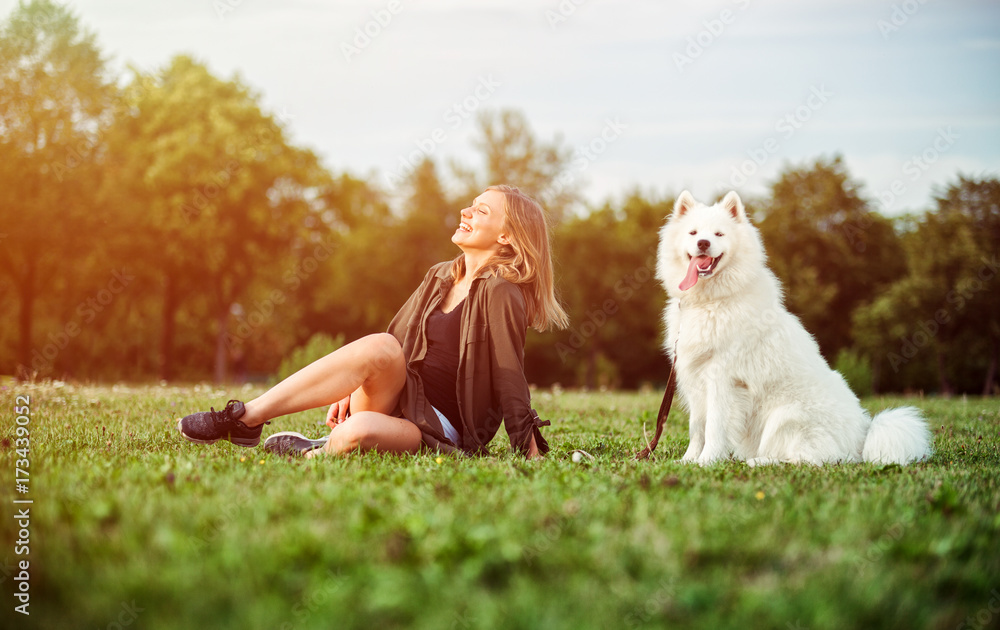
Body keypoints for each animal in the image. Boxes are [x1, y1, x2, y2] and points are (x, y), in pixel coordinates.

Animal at [656, 190, 928, 466]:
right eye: (693, 233)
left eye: (718, 234)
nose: (703, 243)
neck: (710, 301)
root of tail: (863, 437)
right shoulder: (694, 380)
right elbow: (697, 427)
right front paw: (688, 461)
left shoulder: (722, 379)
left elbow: (714, 426)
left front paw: (707, 461)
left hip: (786, 415)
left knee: (805, 459)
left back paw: (758, 461)